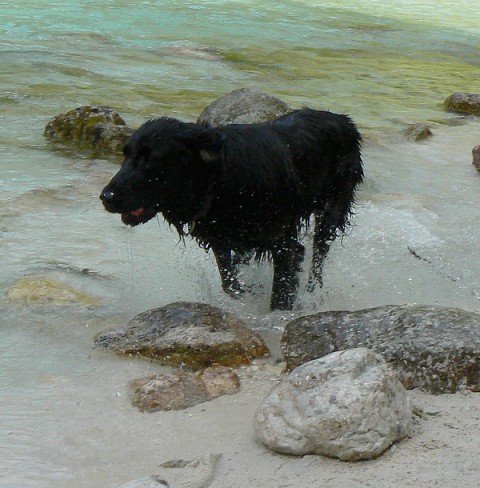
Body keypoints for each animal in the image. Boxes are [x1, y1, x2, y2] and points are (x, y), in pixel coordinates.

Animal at [102, 109, 364, 310]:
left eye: (151, 159)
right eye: (126, 155)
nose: (106, 197)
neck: (221, 182)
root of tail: (344, 119)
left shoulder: (284, 243)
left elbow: (281, 289)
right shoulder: (222, 238)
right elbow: (230, 283)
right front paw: (250, 294)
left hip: (332, 210)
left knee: (319, 256)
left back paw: (312, 294)